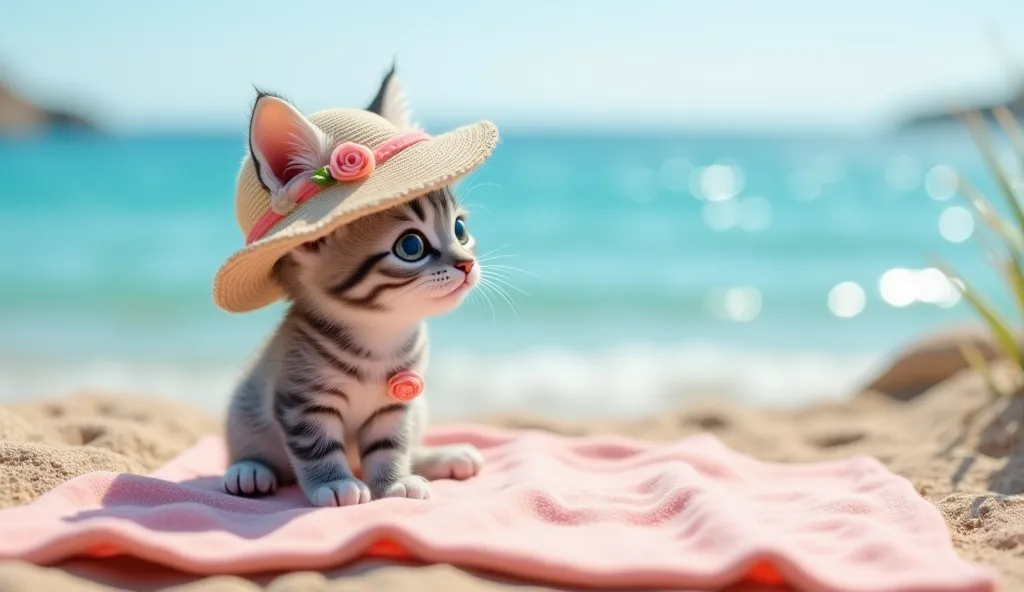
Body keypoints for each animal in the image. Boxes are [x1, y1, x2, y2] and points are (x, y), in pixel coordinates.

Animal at [223, 66, 483, 503]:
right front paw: (336, 483)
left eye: (460, 230)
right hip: (243, 408)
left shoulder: (396, 407)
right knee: (251, 450)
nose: (466, 264)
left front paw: (394, 481)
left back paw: (441, 457)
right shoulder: (301, 401)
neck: (378, 334)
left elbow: (390, 447)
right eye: (411, 246)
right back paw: (248, 470)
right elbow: (317, 447)